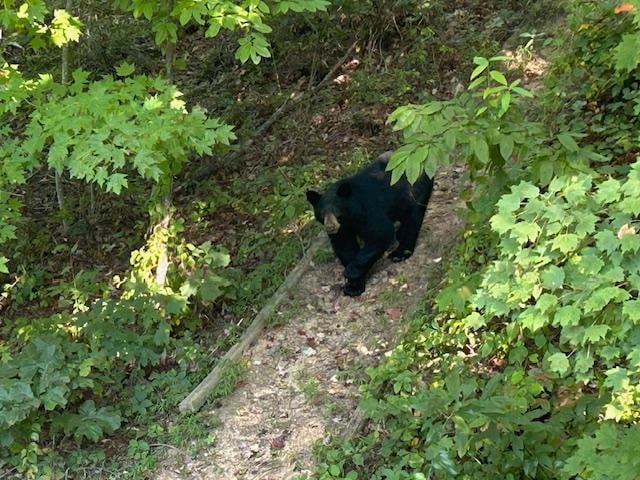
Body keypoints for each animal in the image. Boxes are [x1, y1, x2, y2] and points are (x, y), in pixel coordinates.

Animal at [306, 151, 433, 296]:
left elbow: (380, 233)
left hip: (415, 188)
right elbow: (344, 245)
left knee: (413, 217)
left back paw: (400, 253)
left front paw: (351, 272)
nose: (330, 227)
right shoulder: (343, 228)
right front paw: (354, 285)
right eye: (322, 214)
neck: (351, 213)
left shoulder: (368, 210)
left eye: (336, 212)